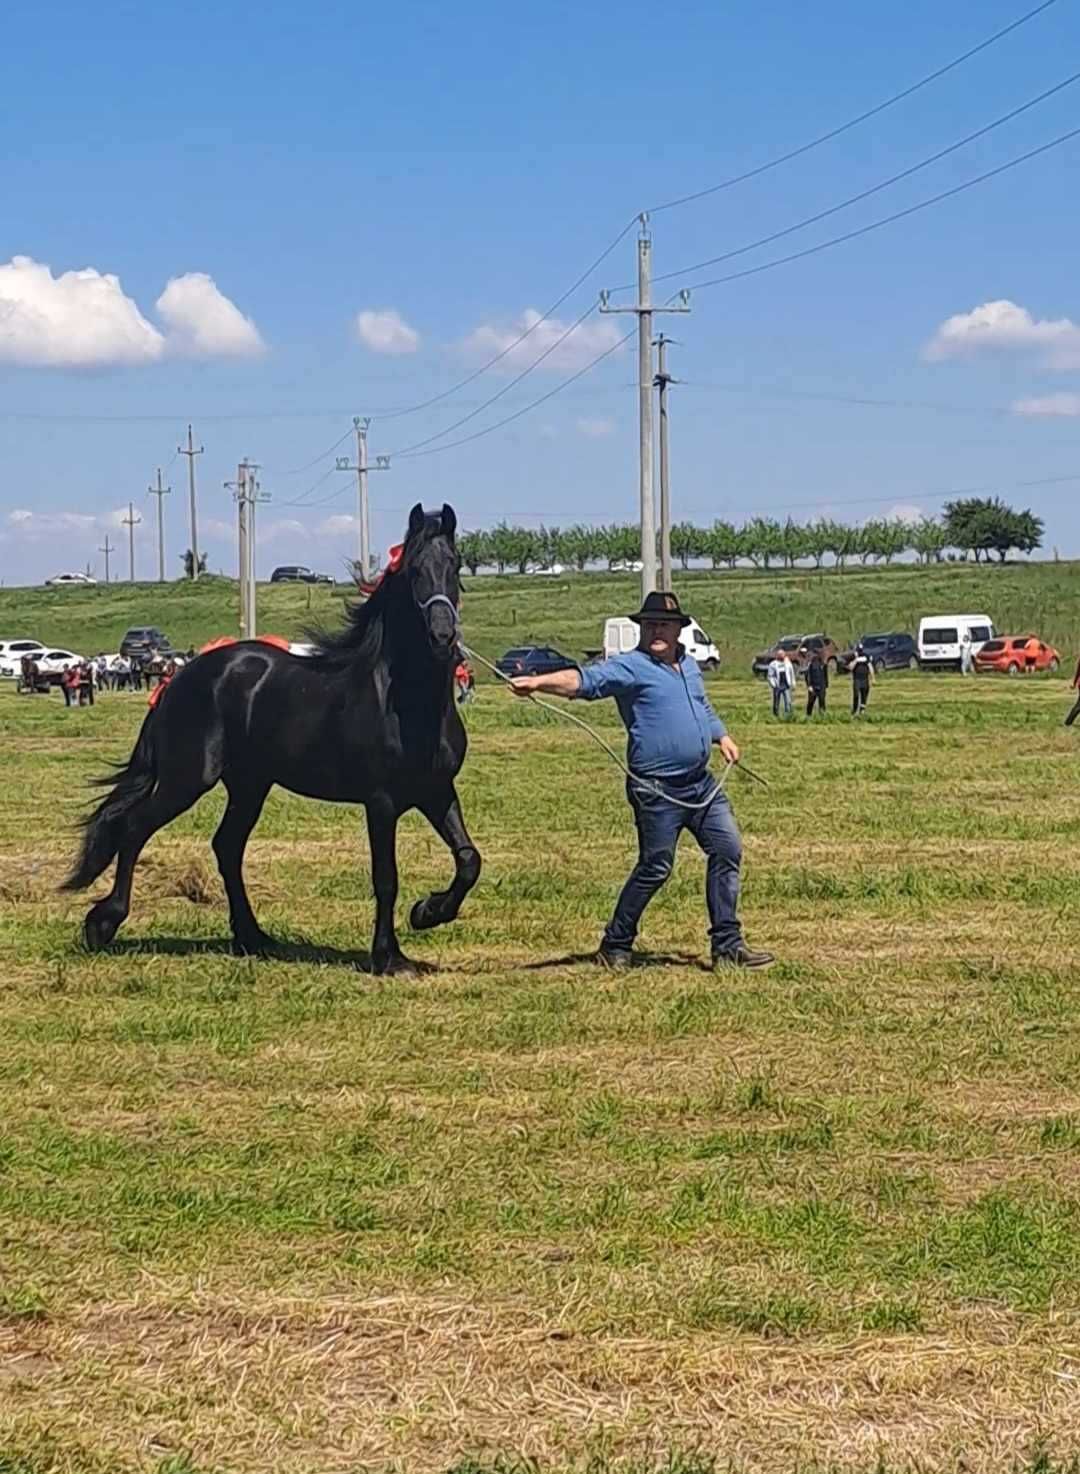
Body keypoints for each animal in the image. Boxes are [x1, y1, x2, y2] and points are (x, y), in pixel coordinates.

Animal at [61, 501, 477, 972]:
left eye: (454, 564)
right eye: (415, 569)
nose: (442, 635)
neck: (405, 702)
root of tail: (178, 677)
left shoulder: (436, 791)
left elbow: (468, 859)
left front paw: (427, 913)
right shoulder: (382, 802)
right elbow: (386, 877)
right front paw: (389, 956)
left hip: (249, 785)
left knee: (226, 846)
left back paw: (252, 937)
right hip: (187, 779)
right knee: (135, 828)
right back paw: (103, 924)